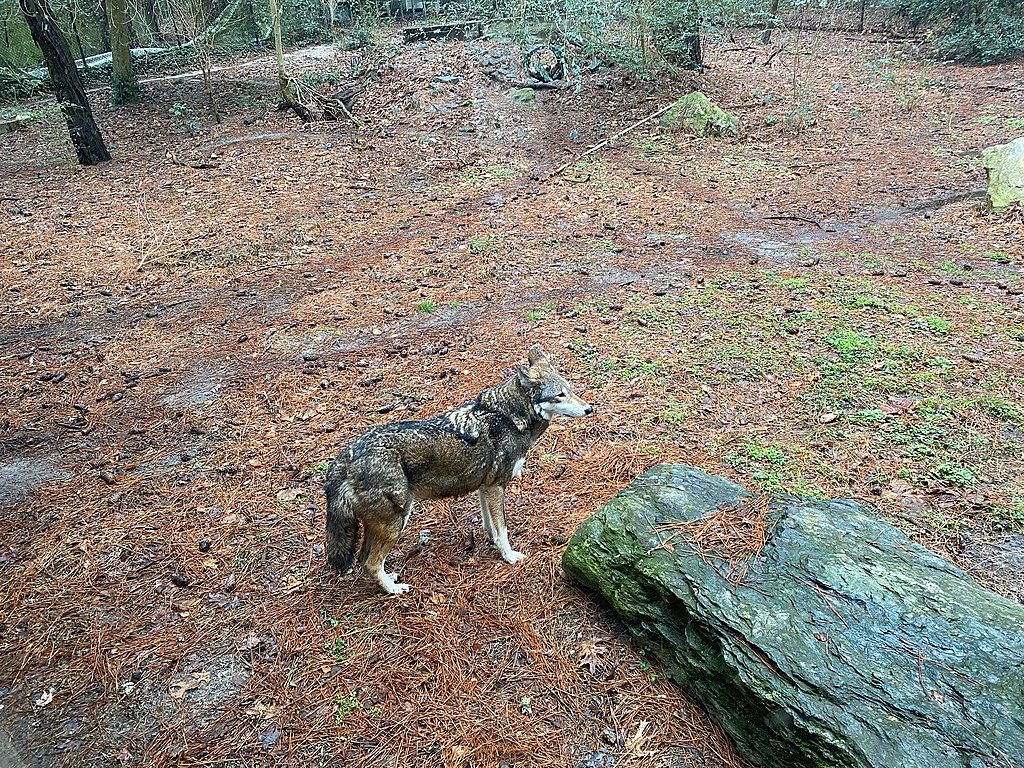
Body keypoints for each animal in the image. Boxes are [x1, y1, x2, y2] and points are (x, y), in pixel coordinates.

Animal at [323, 344, 593, 594]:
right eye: (559, 395)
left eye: (570, 390)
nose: (589, 408)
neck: (510, 417)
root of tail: (343, 459)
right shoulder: (496, 487)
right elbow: (503, 530)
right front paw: (509, 557)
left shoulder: (486, 488)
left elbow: (490, 525)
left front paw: (491, 543)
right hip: (397, 521)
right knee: (371, 563)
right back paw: (394, 590)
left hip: (380, 525)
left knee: (363, 560)